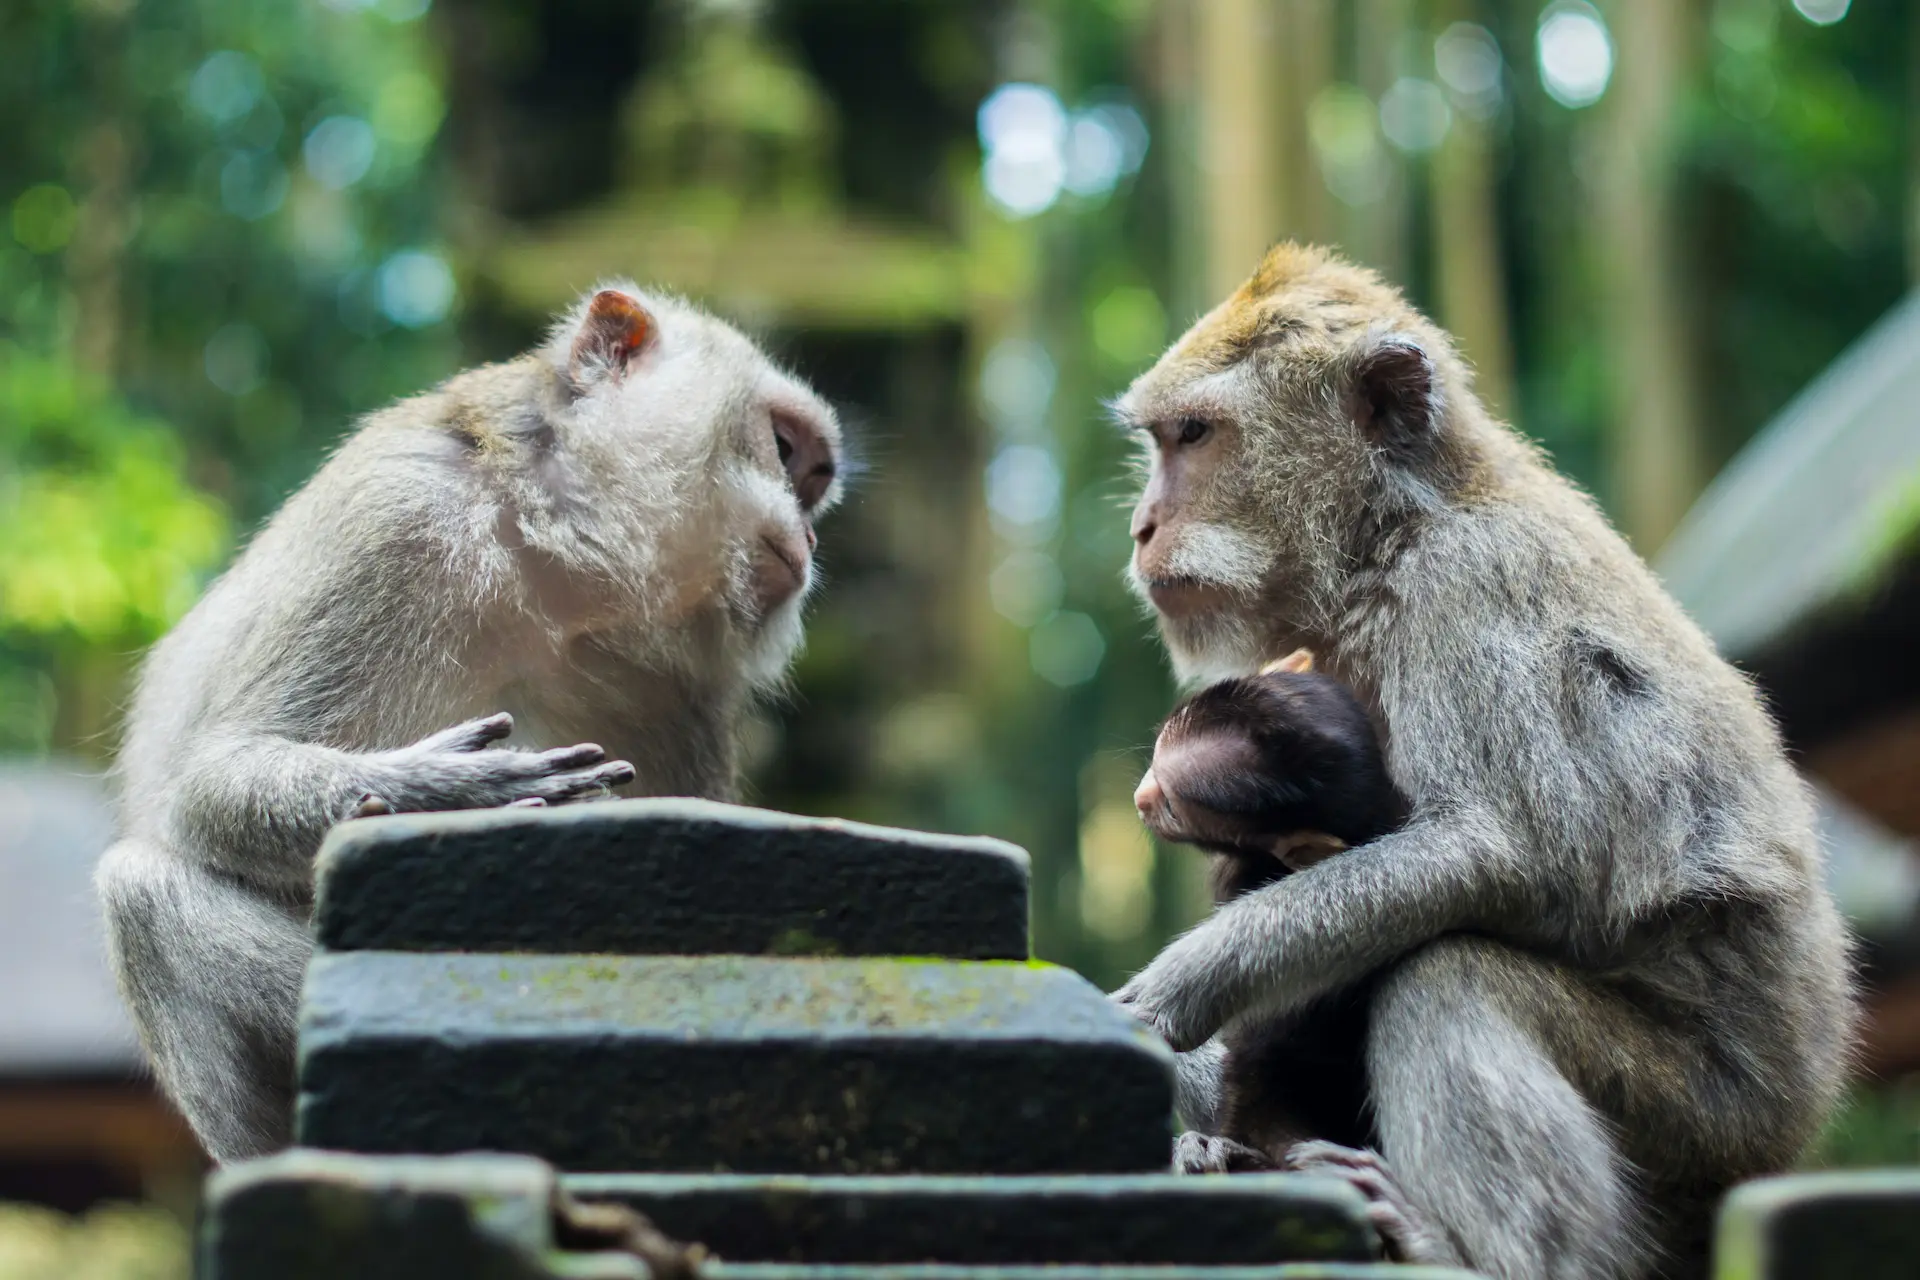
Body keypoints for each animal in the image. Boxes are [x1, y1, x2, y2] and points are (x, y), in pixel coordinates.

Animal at [91, 285, 840, 1166]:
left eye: (816, 481)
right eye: (782, 448)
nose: (812, 532)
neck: (558, 568)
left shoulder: (687, 688)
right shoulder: (396, 514)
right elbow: (208, 784)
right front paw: (446, 790)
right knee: (143, 891)